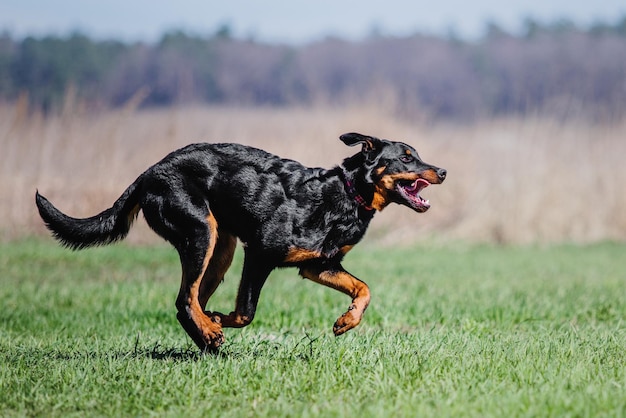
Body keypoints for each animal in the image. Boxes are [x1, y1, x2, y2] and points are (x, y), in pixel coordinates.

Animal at [36, 132, 444, 352]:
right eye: (406, 157)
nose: (442, 170)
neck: (344, 193)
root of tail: (148, 173)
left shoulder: (319, 264)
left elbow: (364, 289)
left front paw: (347, 321)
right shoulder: (260, 253)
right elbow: (246, 311)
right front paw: (223, 321)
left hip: (221, 248)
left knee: (191, 300)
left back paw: (205, 337)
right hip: (201, 233)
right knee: (185, 299)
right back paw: (209, 333)